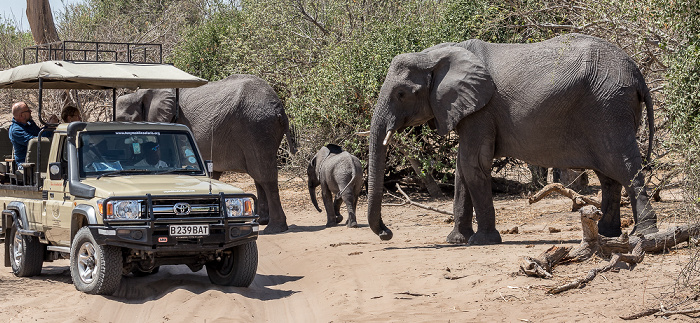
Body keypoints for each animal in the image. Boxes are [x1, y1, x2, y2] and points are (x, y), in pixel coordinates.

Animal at [116, 74, 296, 234]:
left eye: (121, 119)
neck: (141, 92)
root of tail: (280, 109)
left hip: (257, 127)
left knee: (264, 175)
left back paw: (274, 229)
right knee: (258, 175)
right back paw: (261, 220)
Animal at [370, 33, 660, 246]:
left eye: (401, 94)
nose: (387, 233)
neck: (433, 55)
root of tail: (637, 73)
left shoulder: (481, 109)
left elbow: (473, 164)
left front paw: (482, 241)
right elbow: (462, 169)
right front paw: (456, 241)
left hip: (609, 107)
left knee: (624, 166)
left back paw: (644, 233)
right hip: (607, 110)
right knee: (609, 174)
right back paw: (607, 231)